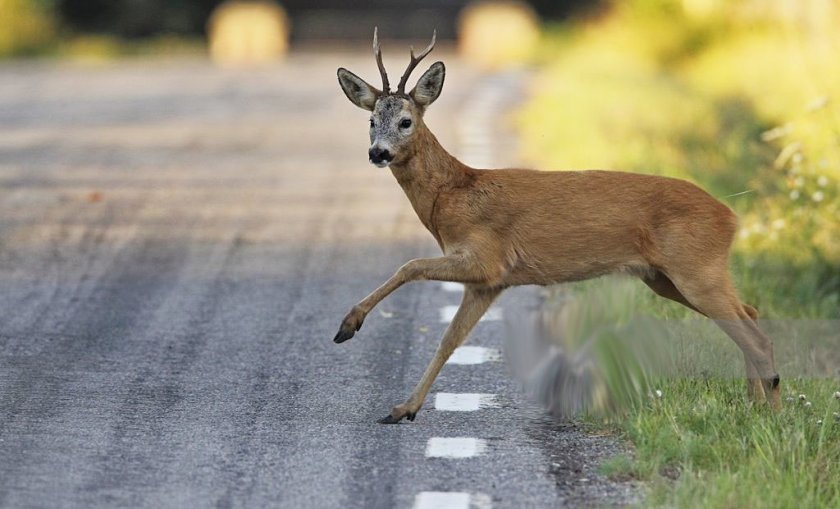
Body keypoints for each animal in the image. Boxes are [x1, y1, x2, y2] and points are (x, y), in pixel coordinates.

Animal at [334, 29, 780, 422]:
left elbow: (410, 268)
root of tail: (732, 217)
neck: (453, 196)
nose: (378, 153)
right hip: (665, 277)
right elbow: (449, 339)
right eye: (371, 121)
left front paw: (348, 326)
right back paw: (753, 405)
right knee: (750, 312)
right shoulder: (489, 282)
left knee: (754, 333)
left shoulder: (486, 258)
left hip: (694, 268)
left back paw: (770, 410)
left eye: (405, 121)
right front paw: (403, 409)